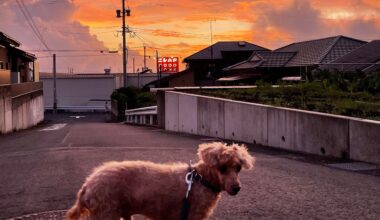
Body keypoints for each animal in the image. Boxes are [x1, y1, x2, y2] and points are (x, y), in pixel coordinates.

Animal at [67, 143, 255, 220]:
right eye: (222, 168)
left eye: (238, 168)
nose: (237, 188)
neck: (202, 180)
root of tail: (87, 185)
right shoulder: (193, 215)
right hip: (106, 212)